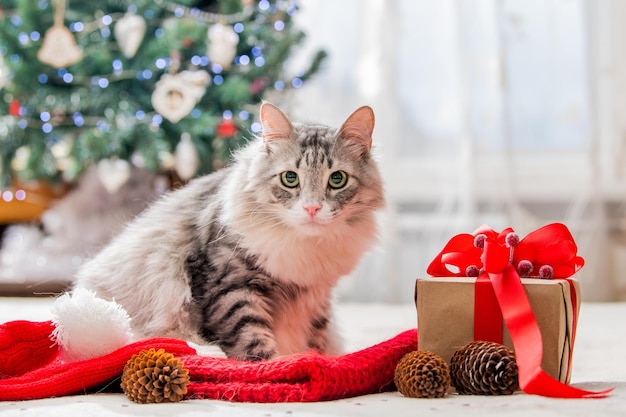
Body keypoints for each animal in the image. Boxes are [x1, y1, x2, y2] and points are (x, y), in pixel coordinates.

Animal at [73, 102, 386, 360]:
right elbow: (251, 338)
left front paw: (319, 360)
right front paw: (275, 367)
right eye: (290, 178)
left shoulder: (317, 296)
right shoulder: (231, 285)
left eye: (337, 179)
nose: (312, 208)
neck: (306, 248)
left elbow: (317, 340)